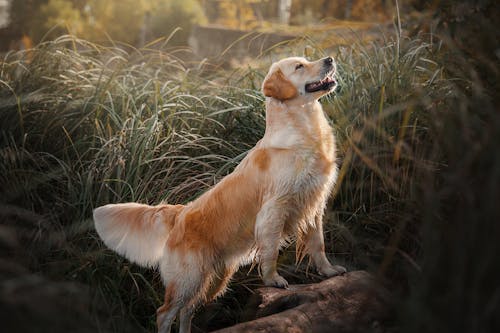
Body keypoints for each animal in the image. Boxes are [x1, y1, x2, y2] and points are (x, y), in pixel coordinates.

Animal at [94, 55, 346, 330]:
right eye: (299, 66)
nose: (330, 58)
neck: (303, 130)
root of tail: (180, 213)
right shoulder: (274, 208)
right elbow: (270, 250)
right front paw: (273, 279)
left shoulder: (314, 204)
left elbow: (318, 244)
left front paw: (329, 271)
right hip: (188, 277)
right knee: (165, 312)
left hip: (212, 279)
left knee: (188, 310)